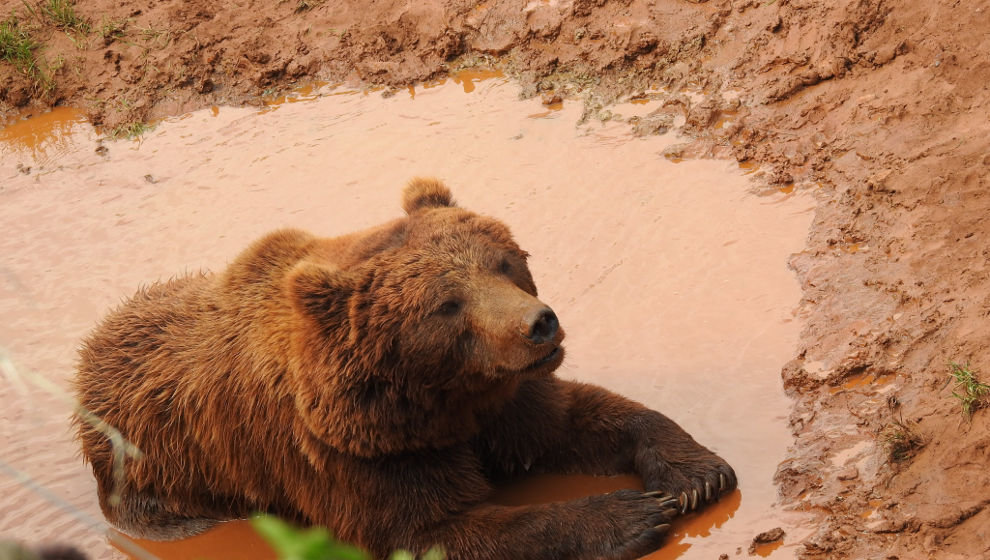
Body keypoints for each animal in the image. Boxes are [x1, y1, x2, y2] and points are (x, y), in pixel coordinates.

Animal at [75, 178, 736, 560]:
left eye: (503, 262)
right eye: (447, 305)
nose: (540, 323)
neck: (436, 400)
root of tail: (90, 348)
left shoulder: (499, 398)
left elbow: (575, 417)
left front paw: (693, 475)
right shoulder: (350, 456)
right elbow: (436, 531)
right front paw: (631, 514)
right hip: (156, 470)